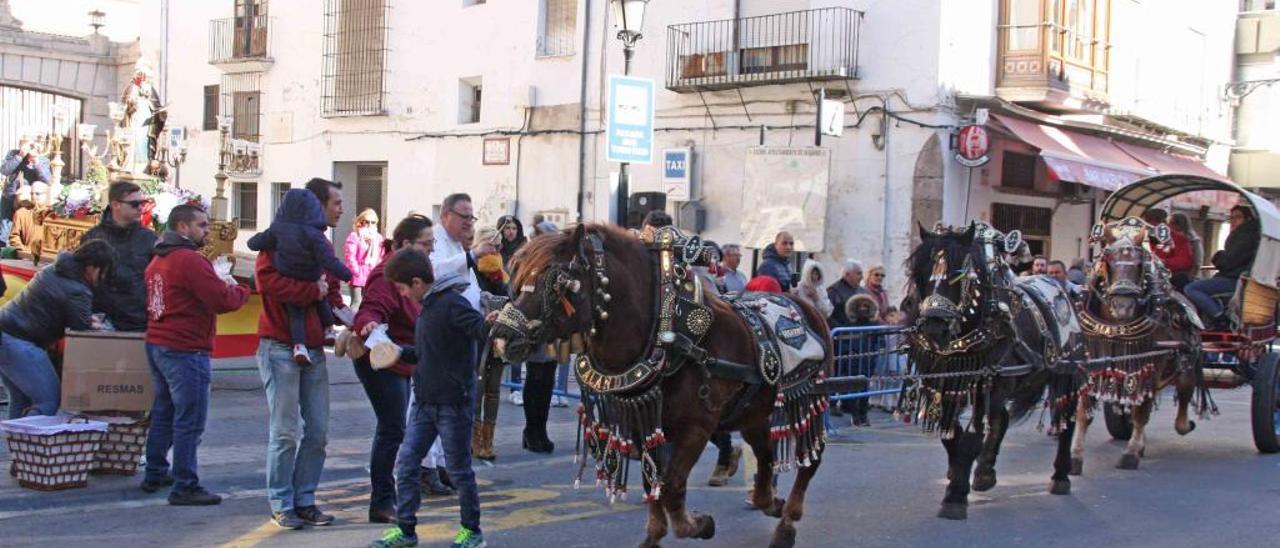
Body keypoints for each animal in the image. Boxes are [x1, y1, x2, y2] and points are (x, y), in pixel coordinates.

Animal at [486, 225, 829, 548]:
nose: (502, 337)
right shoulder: (643, 424)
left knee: (810, 460)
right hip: (754, 412)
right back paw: (769, 501)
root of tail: (805, 304)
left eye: (556, 280)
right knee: (765, 454)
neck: (665, 332)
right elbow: (653, 481)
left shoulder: (696, 427)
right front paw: (655, 533)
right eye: (515, 273)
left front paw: (696, 525)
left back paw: (787, 523)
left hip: (808, 399)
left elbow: (672, 485)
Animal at [906, 225, 1085, 519]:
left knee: (1065, 420)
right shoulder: (945, 384)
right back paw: (984, 472)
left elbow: (971, 437)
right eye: (918, 272)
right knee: (1001, 419)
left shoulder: (988, 383)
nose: (934, 329)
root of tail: (1063, 287)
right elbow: (951, 435)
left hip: (1066, 371)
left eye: (959, 275)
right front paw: (958, 476)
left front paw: (955, 497)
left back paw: (1061, 476)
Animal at [1075, 220, 1203, 473]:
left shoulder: (1151, 363)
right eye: (1108, 262)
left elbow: (1141, 411)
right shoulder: (1092, 360)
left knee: (1182, 393)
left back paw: (1184, 424)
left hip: (1184, 362)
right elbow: (1084, 410)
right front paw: (1074, 456)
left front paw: (1131, 453)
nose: (1123, 307)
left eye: (1139, 265)